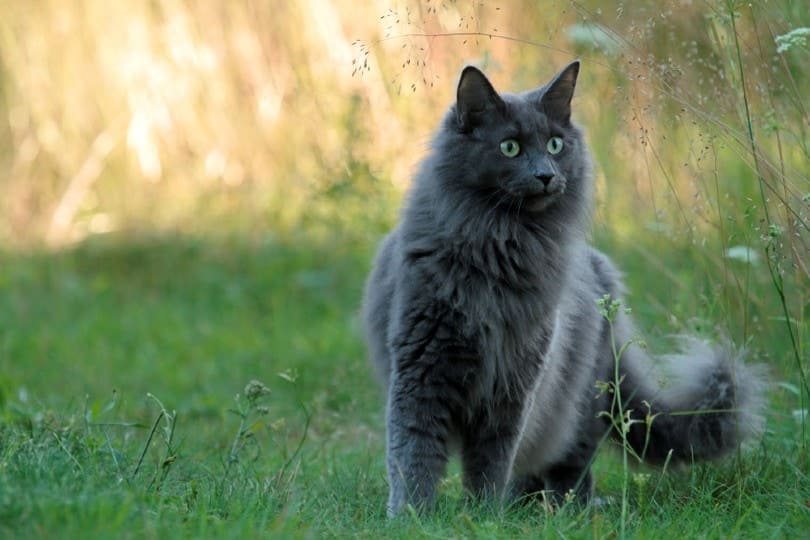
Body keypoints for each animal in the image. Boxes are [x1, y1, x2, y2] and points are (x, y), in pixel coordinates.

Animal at [360, 61, 764, 516]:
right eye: (510, 148)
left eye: (555, 144)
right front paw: (414, 517)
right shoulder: (422, 369)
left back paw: (567, 513)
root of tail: (602, 271)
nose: (545, 175)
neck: (501, 246)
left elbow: (489, 461)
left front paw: (482, 516)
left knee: (570, 469)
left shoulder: (513, 386)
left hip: (582, 400)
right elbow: (413, 456)